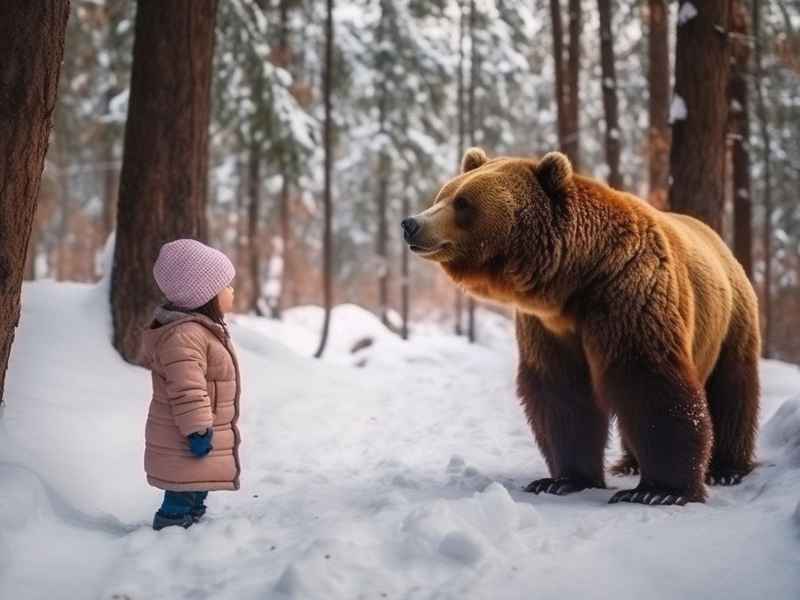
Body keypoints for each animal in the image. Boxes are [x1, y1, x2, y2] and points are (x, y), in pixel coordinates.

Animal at [401, 147, 761, 506]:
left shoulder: (628, 296)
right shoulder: (547, 326)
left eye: (463, 202)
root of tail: (719, 241)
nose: (411, 223)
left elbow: (647, 379)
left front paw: (659, 491)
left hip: (730, 317)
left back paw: (727, 468)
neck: (576, 279)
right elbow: (562, 394)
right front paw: (561, 480)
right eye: (443, 194)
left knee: (732, 389)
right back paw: (628, 463)